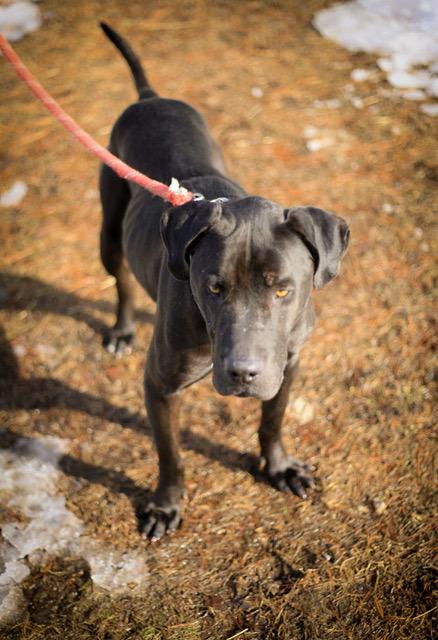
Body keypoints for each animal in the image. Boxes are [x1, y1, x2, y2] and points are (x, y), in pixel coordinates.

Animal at [98, 21, 350, 540]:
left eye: (283, 289)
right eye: (213, 288)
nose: (242, 373)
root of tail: (150, 98)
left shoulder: (290, 362)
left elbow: (273, 420)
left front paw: (279, 467)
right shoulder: (160, 385)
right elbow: (171, 455)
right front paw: (165, 506)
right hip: (109, 228)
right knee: (120, 280)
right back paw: (121, 330)